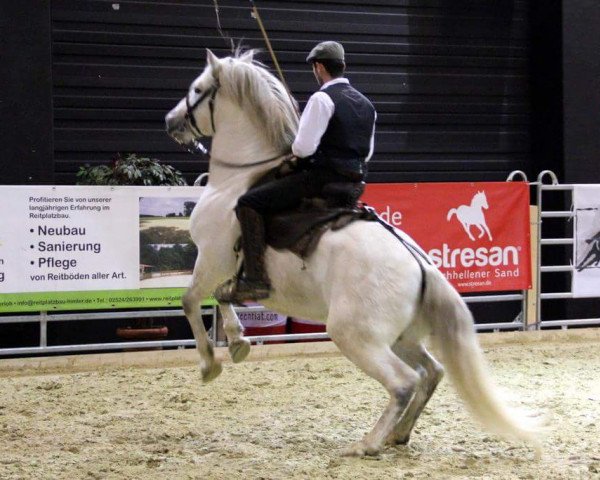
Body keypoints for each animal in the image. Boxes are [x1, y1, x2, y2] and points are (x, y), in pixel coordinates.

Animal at [163, 48, 540, 458]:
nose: (171, 122)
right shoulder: (226, 271)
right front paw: (237, 342)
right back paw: (397, 434)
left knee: (404, 382)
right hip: (400, 338)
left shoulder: (211, 260)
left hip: (355, 336)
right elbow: (223, 298)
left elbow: (191, 300)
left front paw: (209, 363)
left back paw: (368, 443)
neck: (235, 183)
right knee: (432, 372)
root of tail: (422, 268)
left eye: (197, 89)